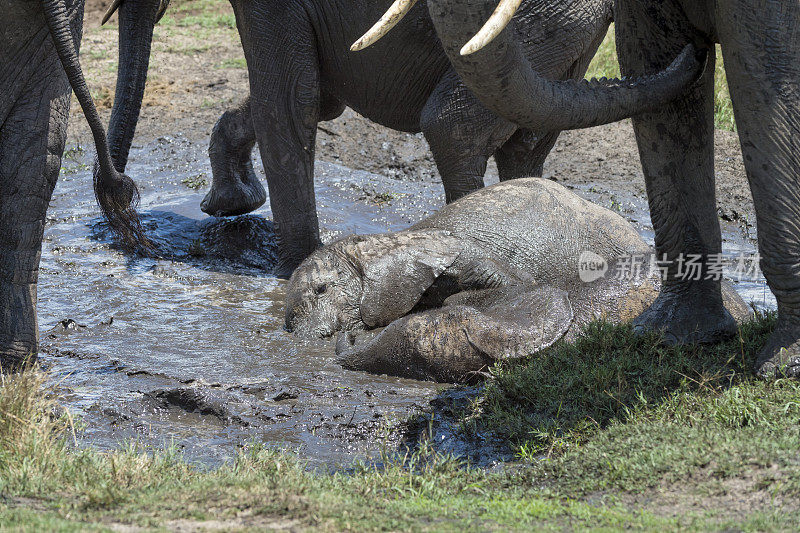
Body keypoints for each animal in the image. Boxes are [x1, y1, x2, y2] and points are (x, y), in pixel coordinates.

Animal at [100, 0, 708, 274]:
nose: (120, 200)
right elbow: (320, 97)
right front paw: (229, 205)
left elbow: (291, 101)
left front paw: (293, 272)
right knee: (527, 133)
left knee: (455, 124)